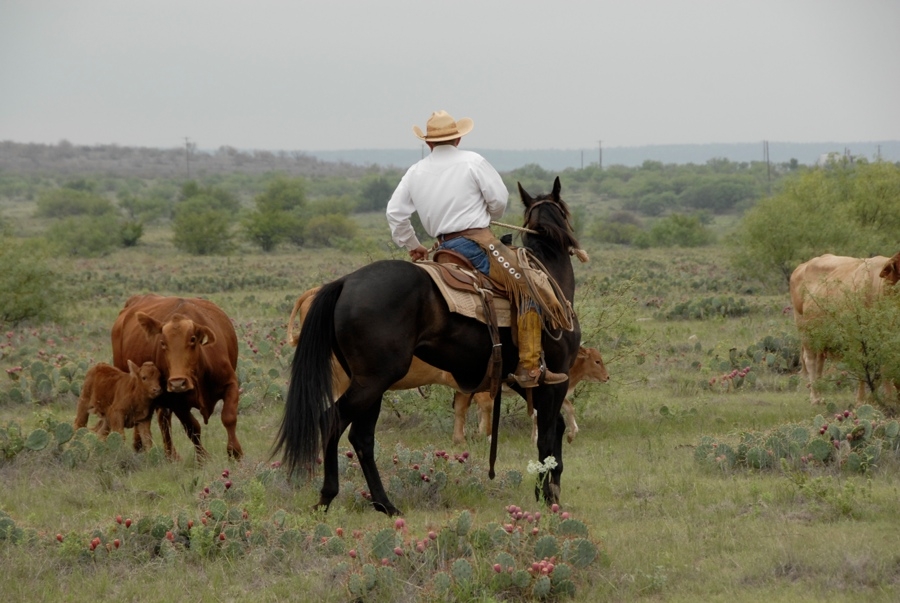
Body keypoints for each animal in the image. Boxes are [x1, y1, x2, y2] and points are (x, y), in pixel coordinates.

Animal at [111, 294, 244, 460]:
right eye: (162, 343)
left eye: (192, 339)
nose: (178, 383)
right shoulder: (175, 401)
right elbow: (192, 428)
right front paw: (202, 458)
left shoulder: (231, 384)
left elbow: (228, 417)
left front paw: (235, 452)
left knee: (161, 418)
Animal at [276, 177, 584, 516]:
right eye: (567, 212)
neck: (547, 274)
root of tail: (345, 283)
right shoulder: (555, 378)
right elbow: (547, 435)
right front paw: (547, 495)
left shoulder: (521, 380)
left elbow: (553, 428)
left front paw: (551, 488)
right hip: (374, 380)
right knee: (334, 421)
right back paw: (329, 496)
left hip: (369, 382)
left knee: (362, 436)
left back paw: (384, 504)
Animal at [792, 251, 896, 406]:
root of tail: (803, 266)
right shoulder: (858, 339)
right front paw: (862, 400)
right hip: (806, 331)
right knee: (810, 360)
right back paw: (815, 397)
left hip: (821, 339)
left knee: (819, 363)